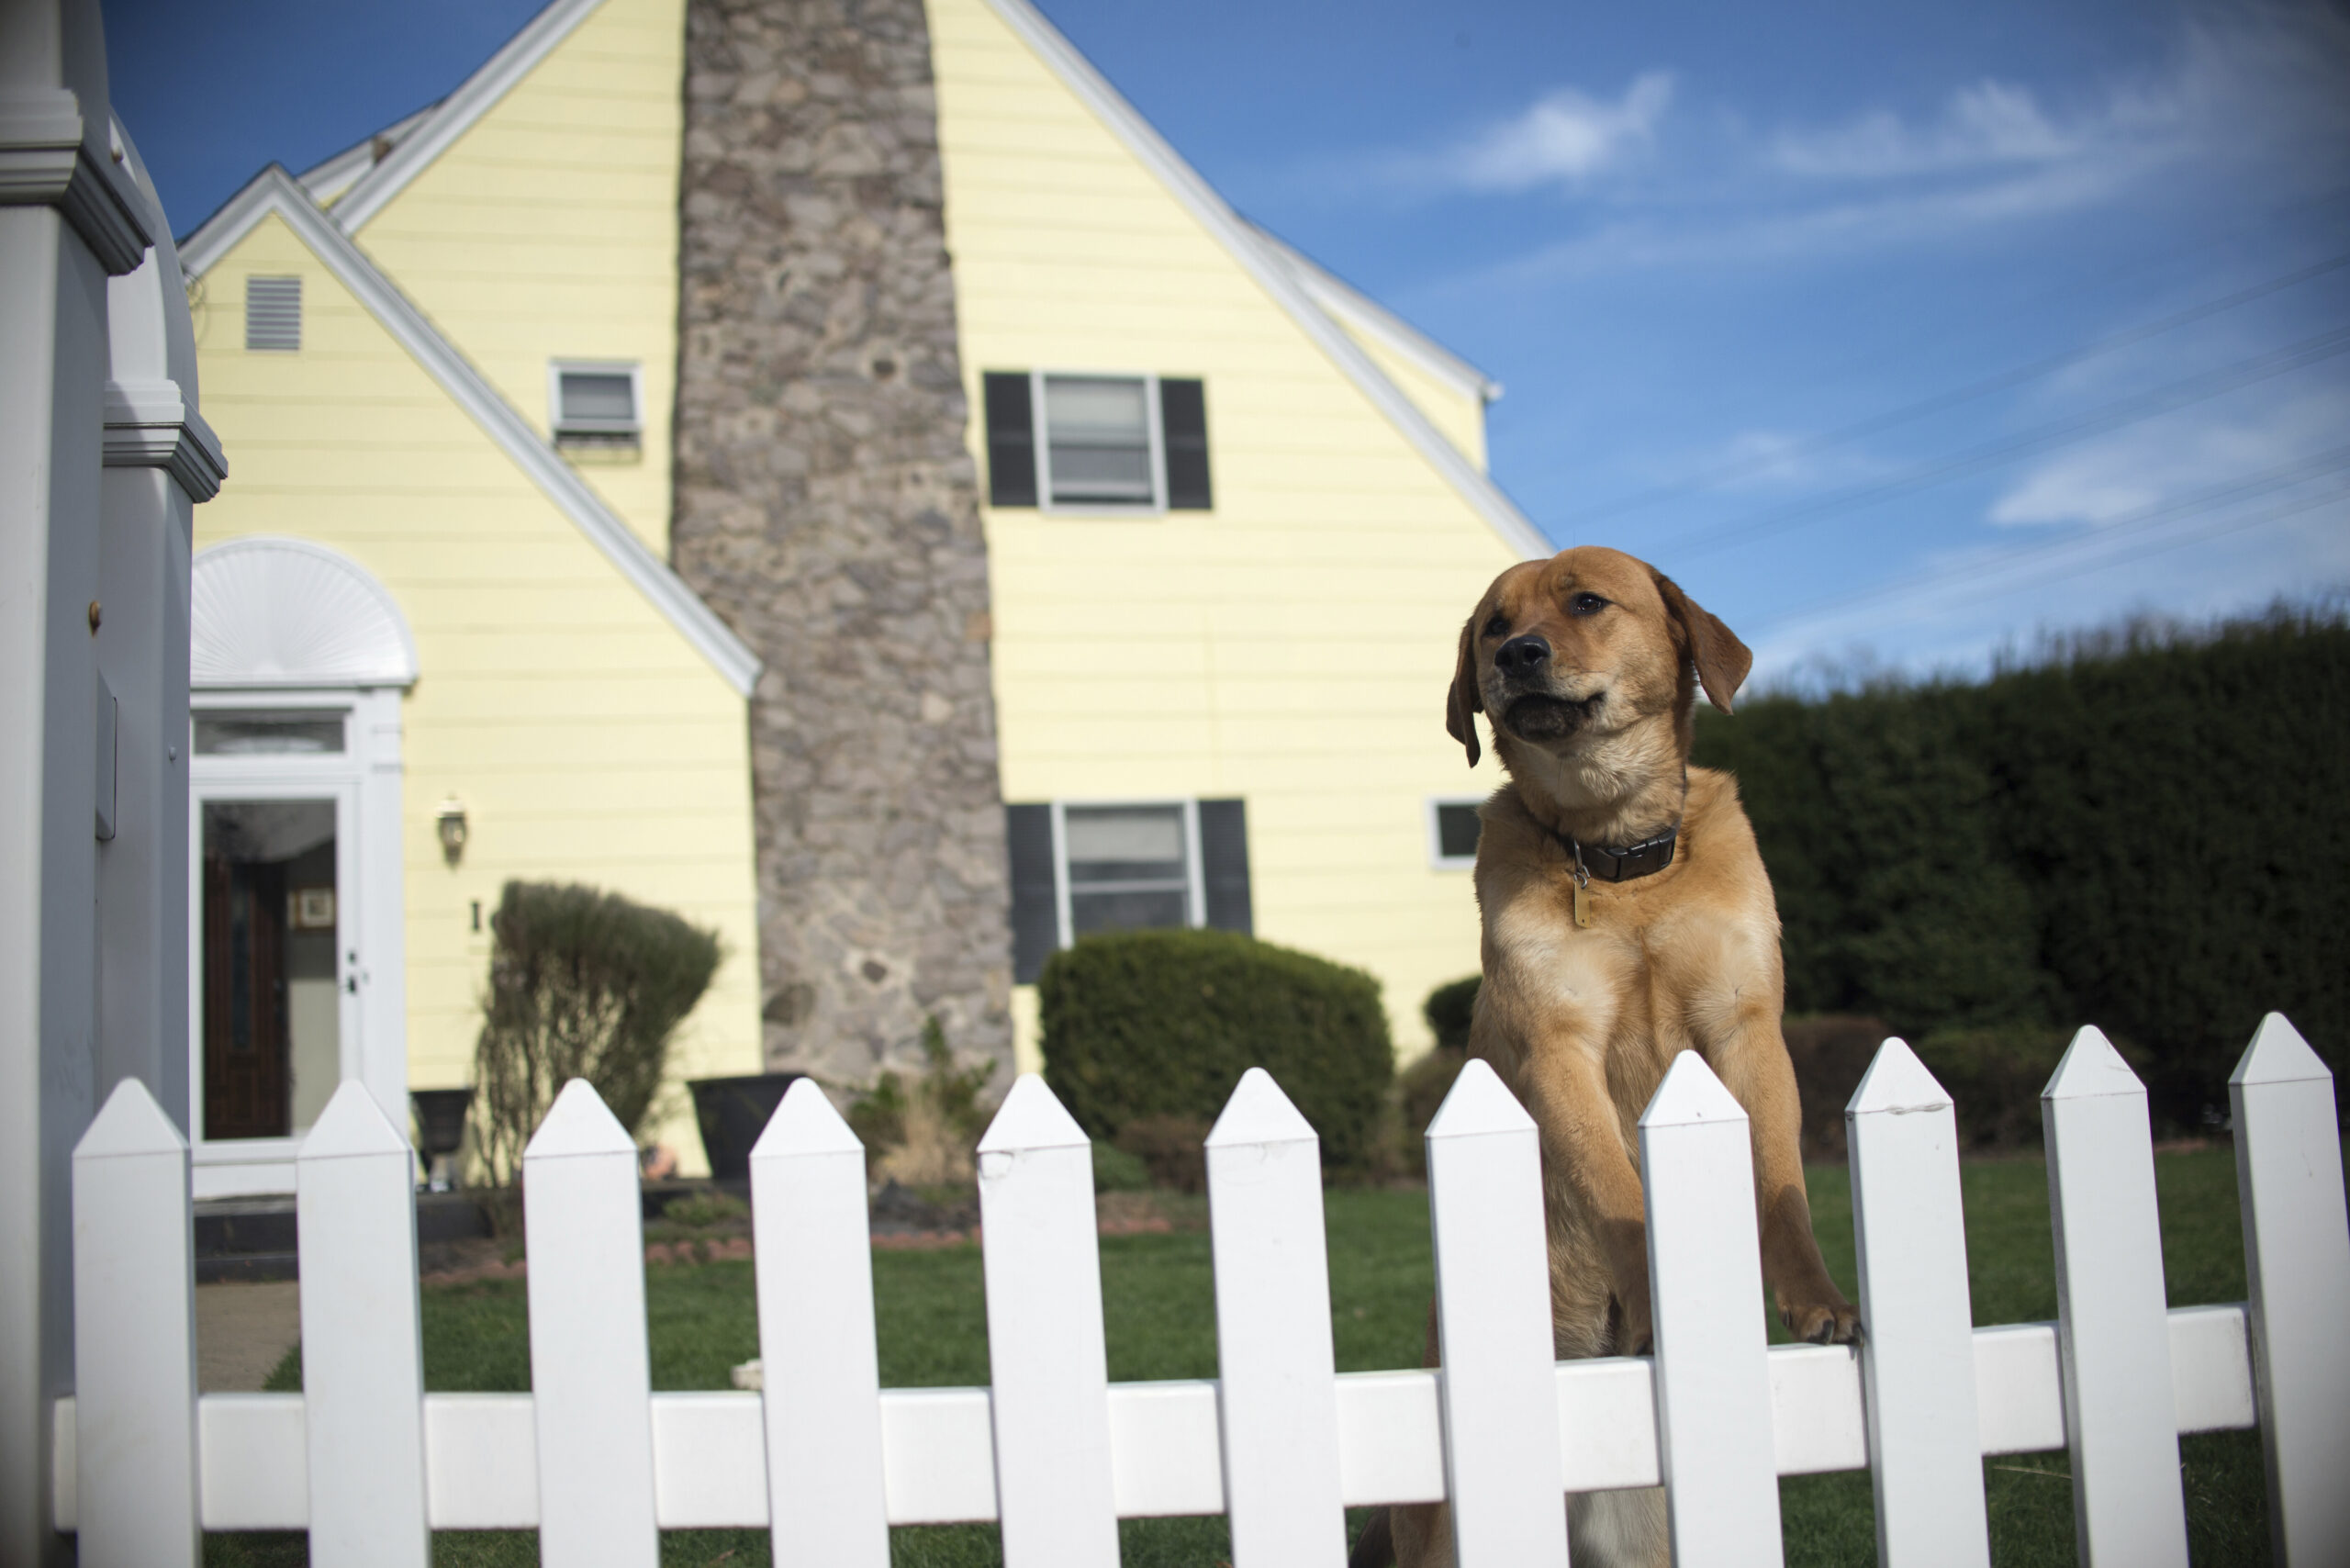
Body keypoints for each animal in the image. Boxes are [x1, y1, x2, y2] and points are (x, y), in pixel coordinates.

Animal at [1372, 550, 1852, 1568]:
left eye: (1588, 601)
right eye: (1491, 624)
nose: (1515, 654)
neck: (1618, 847)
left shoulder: (1746, 1032)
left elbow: (1780, 1187)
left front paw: (1818, 1299)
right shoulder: (1559, 1051)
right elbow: (1618, 1192)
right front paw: (1655, 1291)